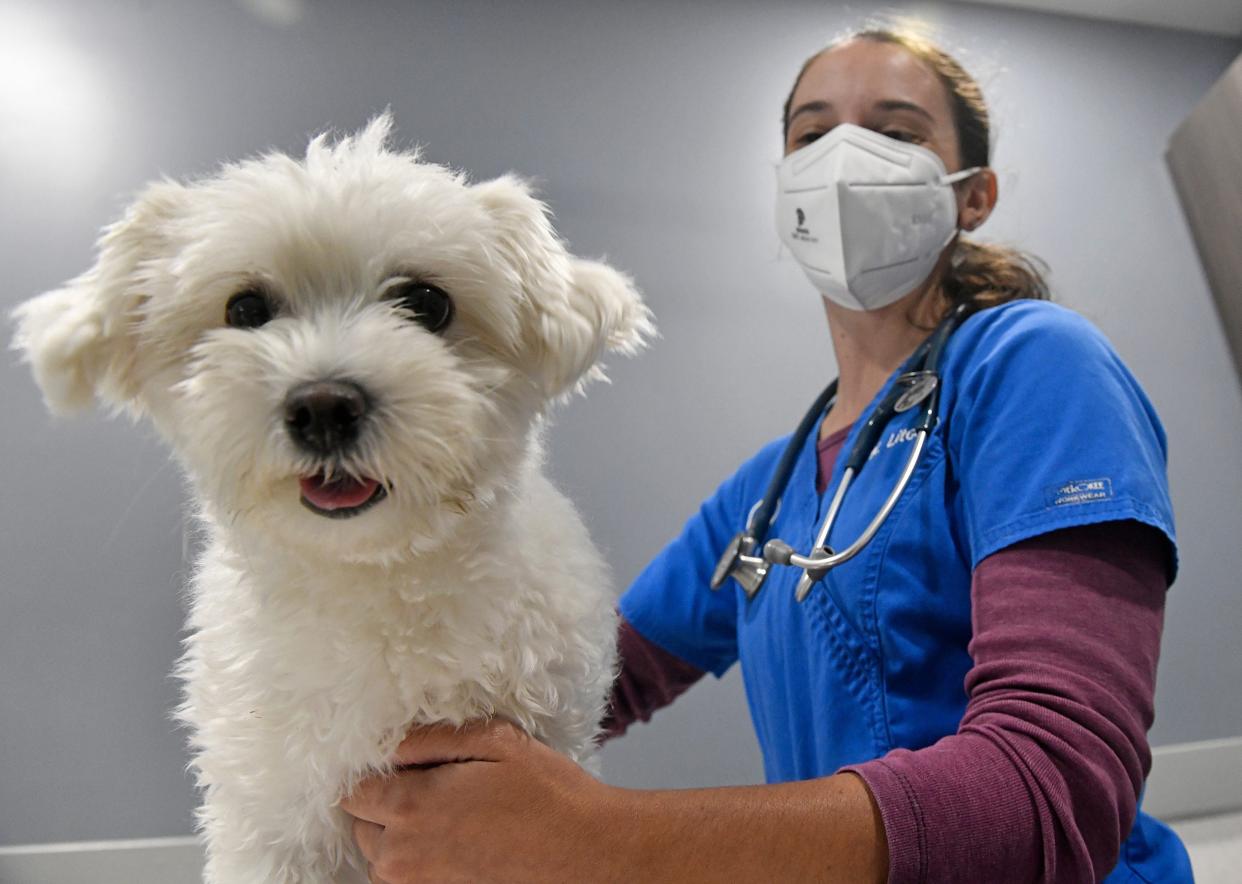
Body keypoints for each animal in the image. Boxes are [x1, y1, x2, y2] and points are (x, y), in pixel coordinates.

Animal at [14, 117, 655, 883]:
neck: (371, 577)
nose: (323, 406)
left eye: (427, 303)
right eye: (246, 309)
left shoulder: (548, 734)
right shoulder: (271, 813)